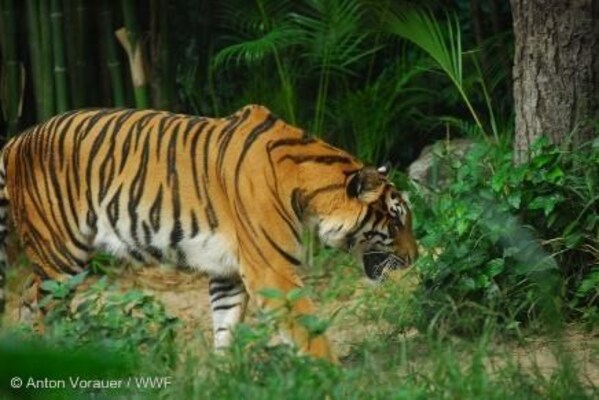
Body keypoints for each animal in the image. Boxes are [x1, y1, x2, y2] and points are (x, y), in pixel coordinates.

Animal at [0, 104, 420, 360]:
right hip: (60, 255)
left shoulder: (228, 271)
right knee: (39, 301)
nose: (416, 257)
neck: (307, 188)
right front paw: (331, 375)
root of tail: (16, 140)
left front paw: (224, 375)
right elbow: (307, 330)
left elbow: (225, 326)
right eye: (396, 222)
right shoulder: (273, 272)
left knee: (26, 296)